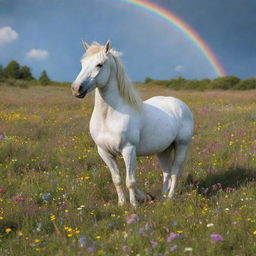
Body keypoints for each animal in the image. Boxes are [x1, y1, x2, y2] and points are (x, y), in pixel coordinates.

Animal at [71, 40, 193, 208]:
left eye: (99, 64)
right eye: (82, 63)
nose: (77, 89)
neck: (109, 116)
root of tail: (180, 104)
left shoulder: (128, 150)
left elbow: (130, 181)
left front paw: (135, 205)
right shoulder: (104, 152)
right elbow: (117, 179)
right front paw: (123, 203)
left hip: (182, 145)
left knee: (175, 172)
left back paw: (169, 198)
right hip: (163, 150)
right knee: (166, 172)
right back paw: (162, 197)